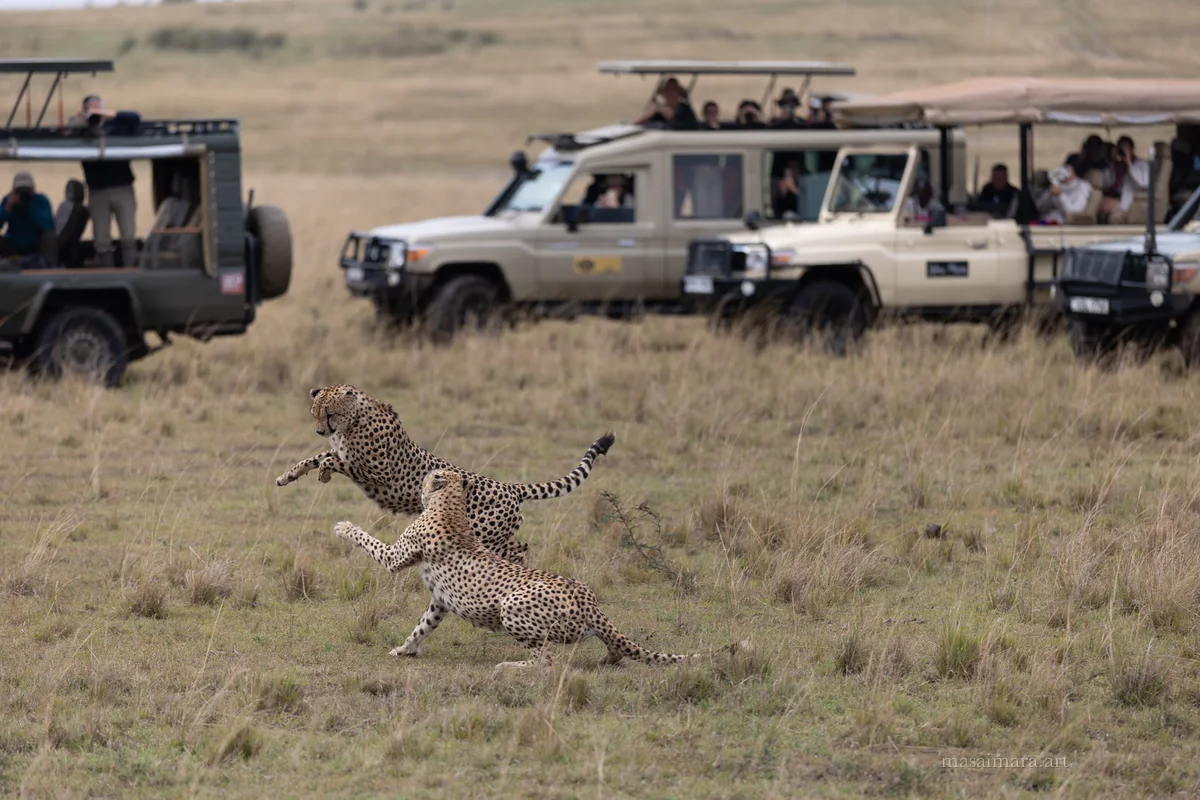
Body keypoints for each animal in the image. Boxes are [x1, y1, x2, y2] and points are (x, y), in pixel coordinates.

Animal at [275, 384, 615, 567]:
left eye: (329, 413)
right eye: (315, 413)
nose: (320, 431)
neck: (355, 419)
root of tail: (510, 487)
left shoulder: (375, 472)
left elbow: (331, 460)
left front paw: (323, 473)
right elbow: (316, 456)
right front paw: (288, 476)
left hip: (481, 533)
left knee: (518, 549)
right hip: (496, 533)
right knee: (521, 546)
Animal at [332, 467, 701, 673]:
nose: (418, 488)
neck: (451, 505)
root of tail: (589, 600)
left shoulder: (396, 558)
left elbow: (369, 541)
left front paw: (344, 527)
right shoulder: (441, 601)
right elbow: (423, 626)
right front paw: (405, 649)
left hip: (512, 608)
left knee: (549, 663)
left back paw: (509, 667)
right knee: (615, 647)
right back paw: (611, 658)